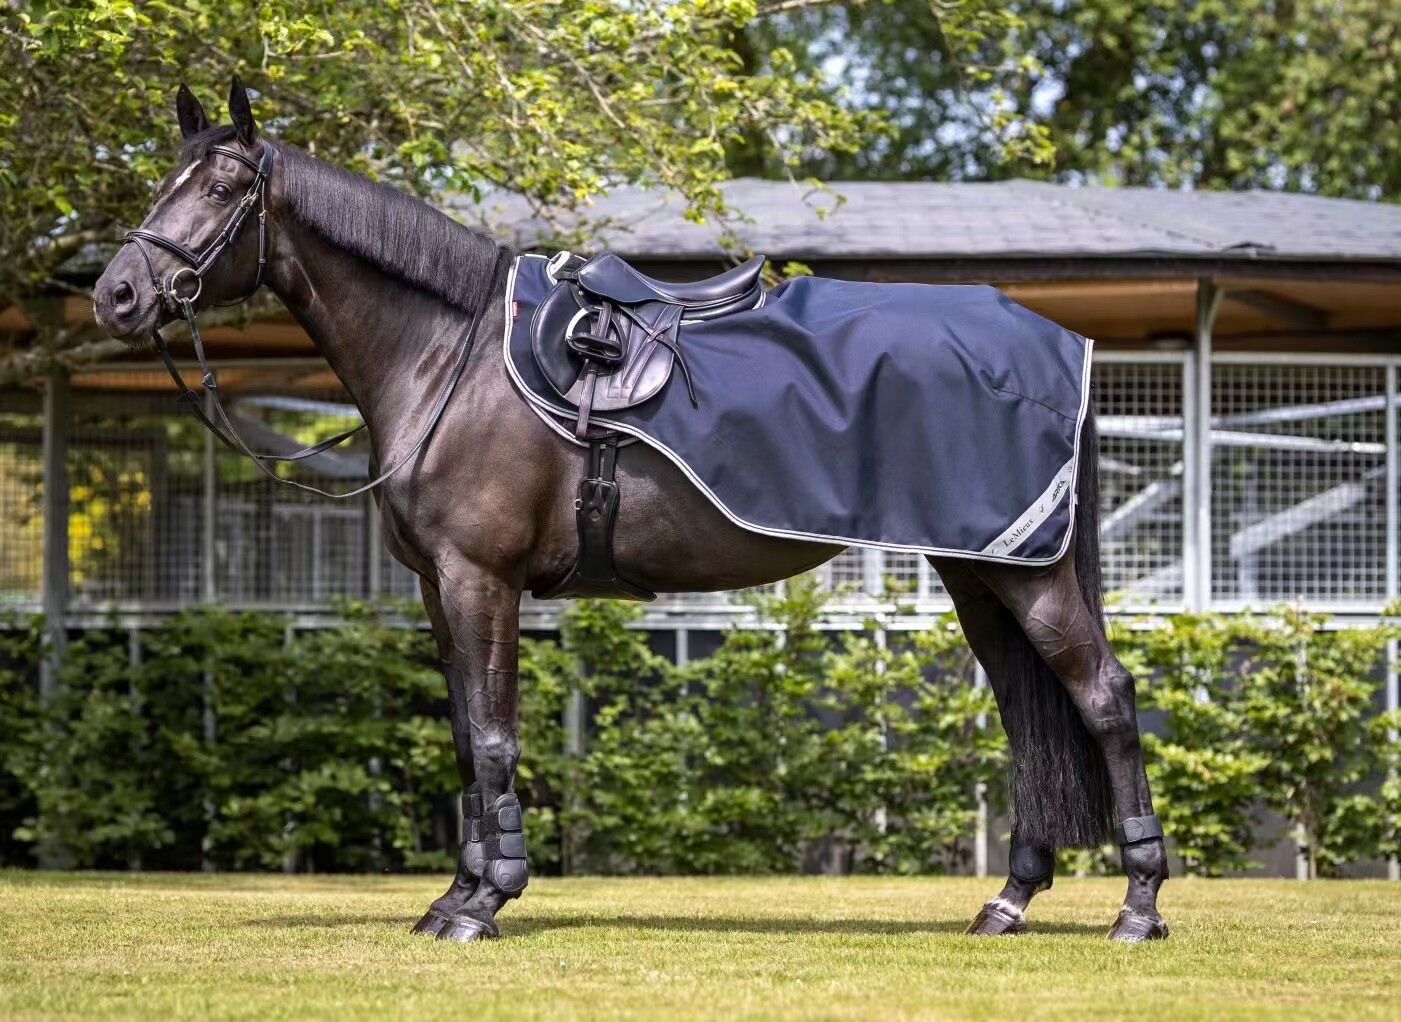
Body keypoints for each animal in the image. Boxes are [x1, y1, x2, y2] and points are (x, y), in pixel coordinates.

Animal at [92, 78, 1169, 943]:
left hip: (1025, 576)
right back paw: (1009, 901)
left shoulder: (481, 580)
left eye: (222, 190)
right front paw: (454, 895)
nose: (116, 295)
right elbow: (465, 737)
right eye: (161, 183)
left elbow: (494, 734)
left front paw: (485, 904)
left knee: (1104, 699)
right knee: (1027, 714)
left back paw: (1138, 907)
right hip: (981, 574)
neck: (451, 358)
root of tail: (1054, 340)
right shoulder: (441, 589)